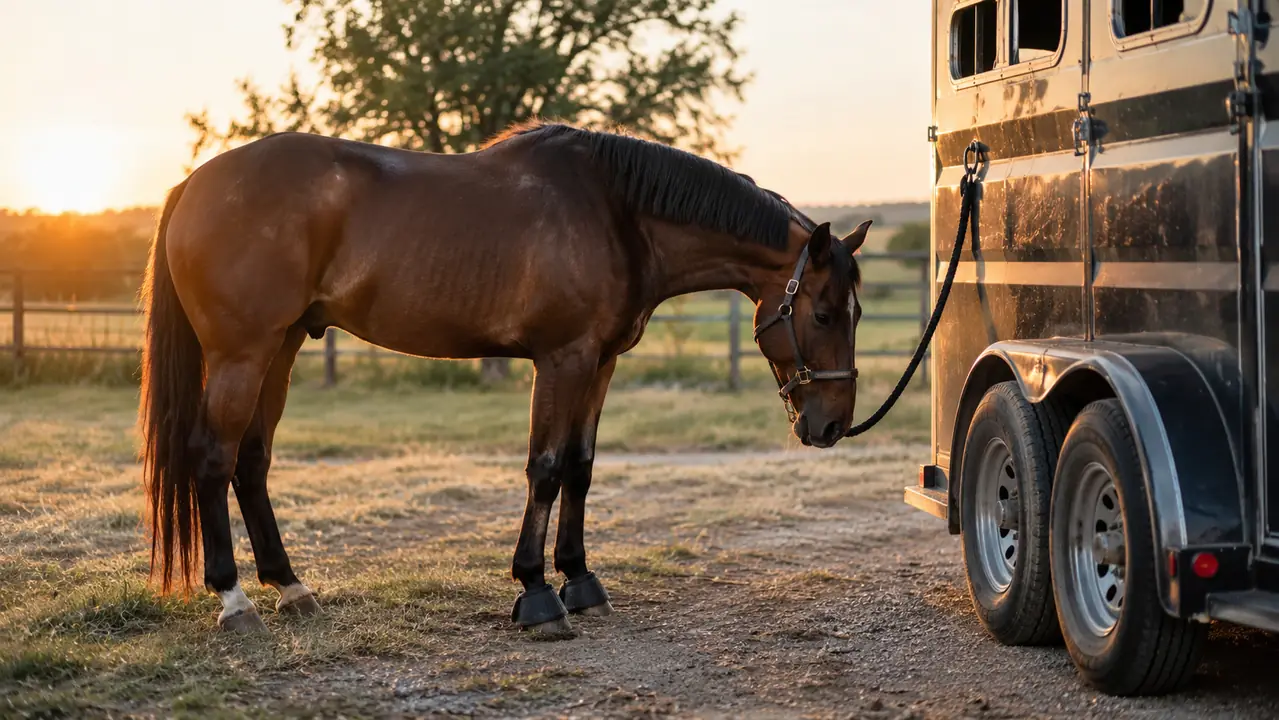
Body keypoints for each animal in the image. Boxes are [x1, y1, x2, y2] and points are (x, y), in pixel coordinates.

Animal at [139, 121, 872, 635]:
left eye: (856, 312)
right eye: (824, 312)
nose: (833, 423)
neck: (616, 214)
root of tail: (194, 182)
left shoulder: (600, 362)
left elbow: (580, 466)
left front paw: (580, 580)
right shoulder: (562, 359)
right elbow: (544, 468)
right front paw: (538, 593)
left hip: (283, 347)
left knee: (251, 461)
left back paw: (291, 588)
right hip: (242, 352)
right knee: (213, 459)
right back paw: (234, 600)